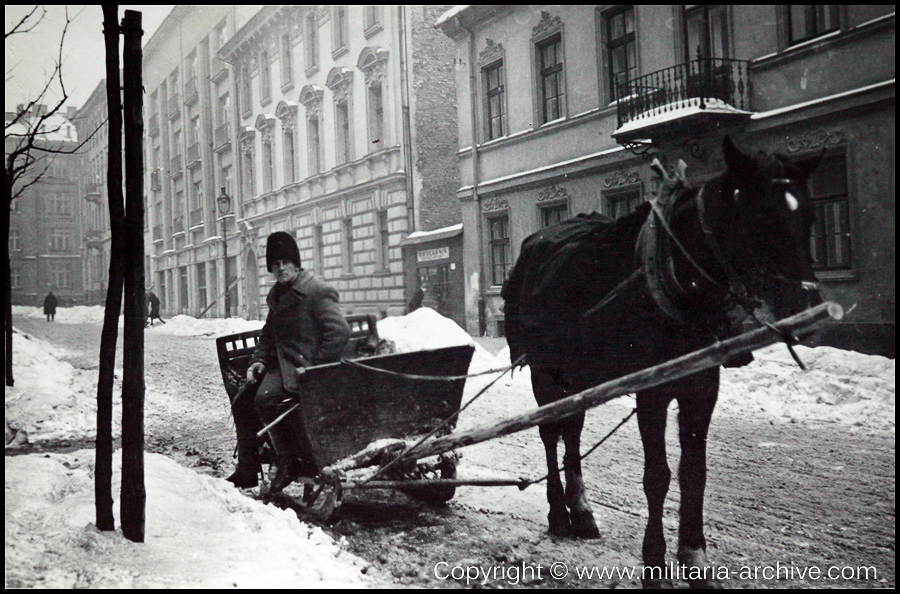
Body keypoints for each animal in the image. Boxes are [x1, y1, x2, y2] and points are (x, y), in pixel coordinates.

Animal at [502, 136, 820, 584]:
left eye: (809, 214)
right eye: (761, 216)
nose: (807, 310)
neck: (680, 279)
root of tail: (534, 244)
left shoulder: (702, 388)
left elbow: (693, 473)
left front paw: (693, 553)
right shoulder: (650, 391)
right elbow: (658, 475)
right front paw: (654, 557)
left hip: (580, 376)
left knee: (573, 433)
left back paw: (581, 511)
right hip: (547, 374)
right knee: (551, 434)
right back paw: (559, 515)